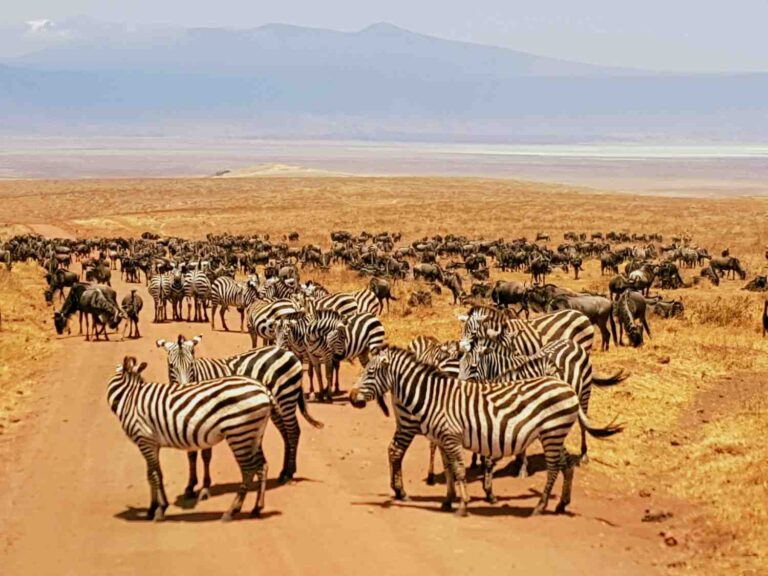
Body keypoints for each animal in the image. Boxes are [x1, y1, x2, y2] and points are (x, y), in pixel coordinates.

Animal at [107, 356, 273, 521]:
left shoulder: (144, 439)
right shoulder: (150, 443)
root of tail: (262, 388)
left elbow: (155, 475)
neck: (130, 397)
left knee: (248, 470)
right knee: (262, 466)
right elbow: (151, 475)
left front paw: (160, 509)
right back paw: (257, 508)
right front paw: (151, 509)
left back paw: (232, 511)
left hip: (239, 433)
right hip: (254, 433)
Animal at [156, 335, 322, 487]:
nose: (185, 388)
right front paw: (191, 485)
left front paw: (203, 484)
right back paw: (283, 472)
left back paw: (289, 472)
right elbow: (191, 453)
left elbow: (205, 453)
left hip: (286, 397)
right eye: (171, 366)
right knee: (286, 434)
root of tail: (287, 352)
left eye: (191, 365)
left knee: (293, 432)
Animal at [349, 346, 622, 516]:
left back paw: (540, 506)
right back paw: (561, 504)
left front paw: (464, 503)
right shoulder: (446, 438)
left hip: (552, 433)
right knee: (567, 464)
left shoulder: (453, 437)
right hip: (553, 433)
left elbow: (460, 469)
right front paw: (449, 500)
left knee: (556, 466)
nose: (351, 397)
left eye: (370, 372)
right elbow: (451, 469)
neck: (433, 396)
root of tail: (568, 389)